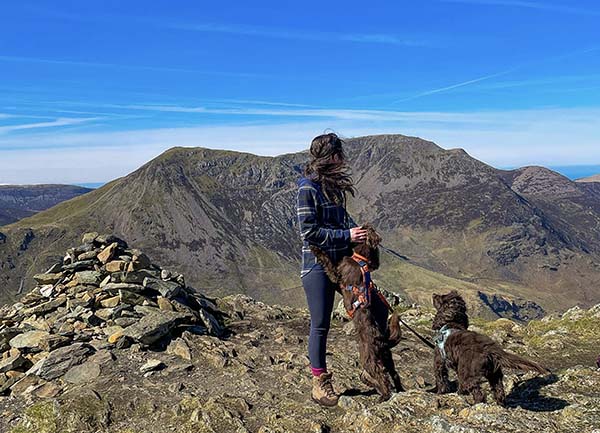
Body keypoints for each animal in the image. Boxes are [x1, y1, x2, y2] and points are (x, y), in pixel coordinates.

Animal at [310, 224, 404, 400]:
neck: (359, 259)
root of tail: (382, 340)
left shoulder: (336, 275)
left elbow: (327, 261)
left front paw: (316, 248)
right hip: (387, 357)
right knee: (394, 373)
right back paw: (400, 390)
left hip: (369, 358)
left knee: (381, 375)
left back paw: (384, 395)